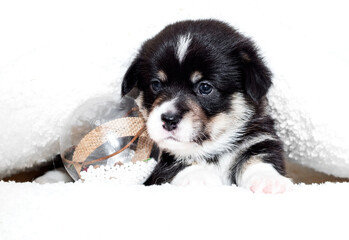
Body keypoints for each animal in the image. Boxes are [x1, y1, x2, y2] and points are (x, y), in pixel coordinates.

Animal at [121, 19, 292, 194]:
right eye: (156, 84)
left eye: (205, 87)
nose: (169, 119)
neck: (212, 150)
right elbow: (175, 164)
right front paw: (199, 179)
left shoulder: (260, 138)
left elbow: (259, 158)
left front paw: (268, 181)